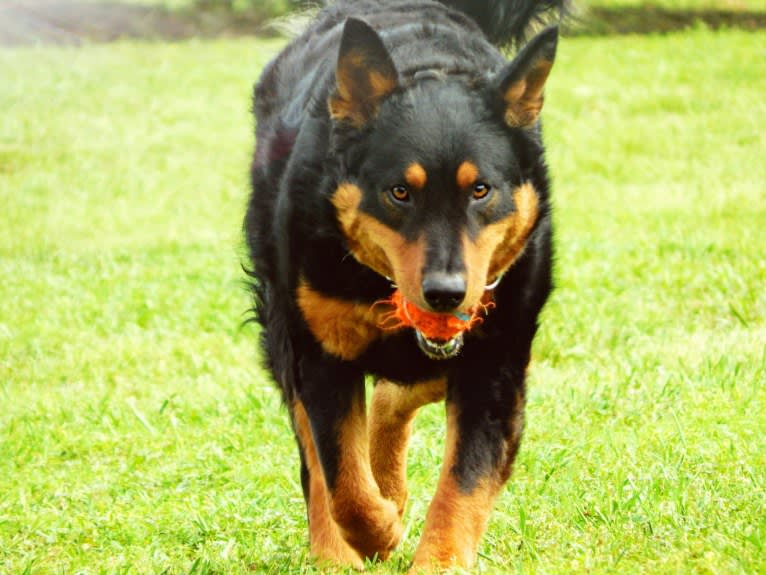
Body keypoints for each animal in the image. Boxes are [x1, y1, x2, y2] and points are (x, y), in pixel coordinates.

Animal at [249, 0, 568, 568]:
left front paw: (435, 556)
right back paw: (335, 551)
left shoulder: (496, 363)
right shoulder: (321, 352)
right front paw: (377, 533)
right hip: (284, 324)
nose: (445, 292)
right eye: (400, 192)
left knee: (395, 396)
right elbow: (343, 481)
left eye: (481, 190)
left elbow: (462, 487)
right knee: (317, 456)